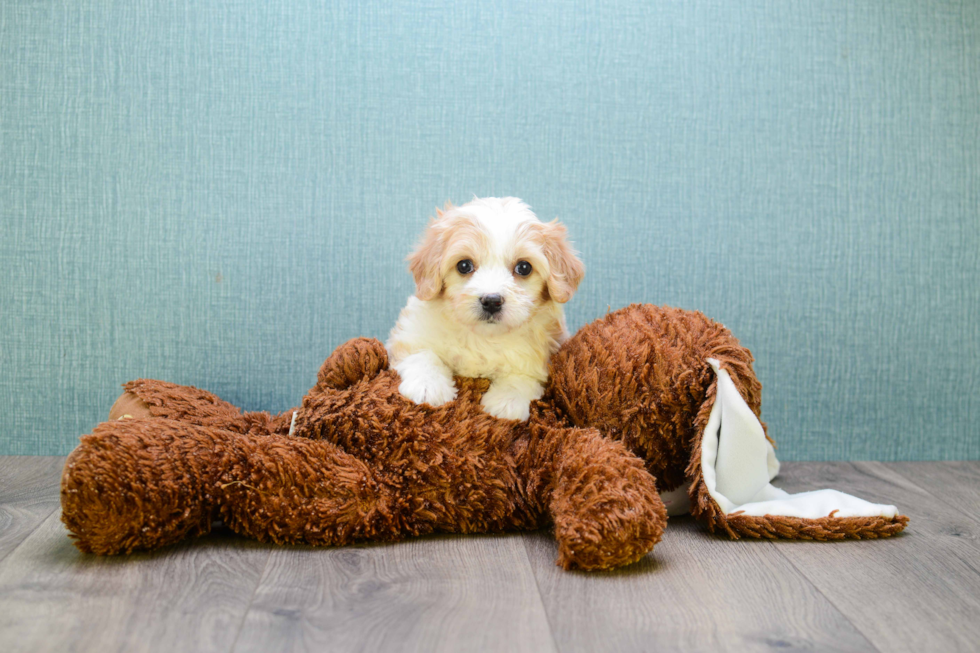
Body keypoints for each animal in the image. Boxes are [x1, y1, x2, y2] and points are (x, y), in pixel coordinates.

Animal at [386, 196, 584, 420]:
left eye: (524, 267)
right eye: (464, 265)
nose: (491, 301)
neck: (482, 337)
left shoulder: (541, 354)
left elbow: (524, 375)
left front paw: (507, 402)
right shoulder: (411, 333)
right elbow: (421, 354)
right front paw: (428, 386)